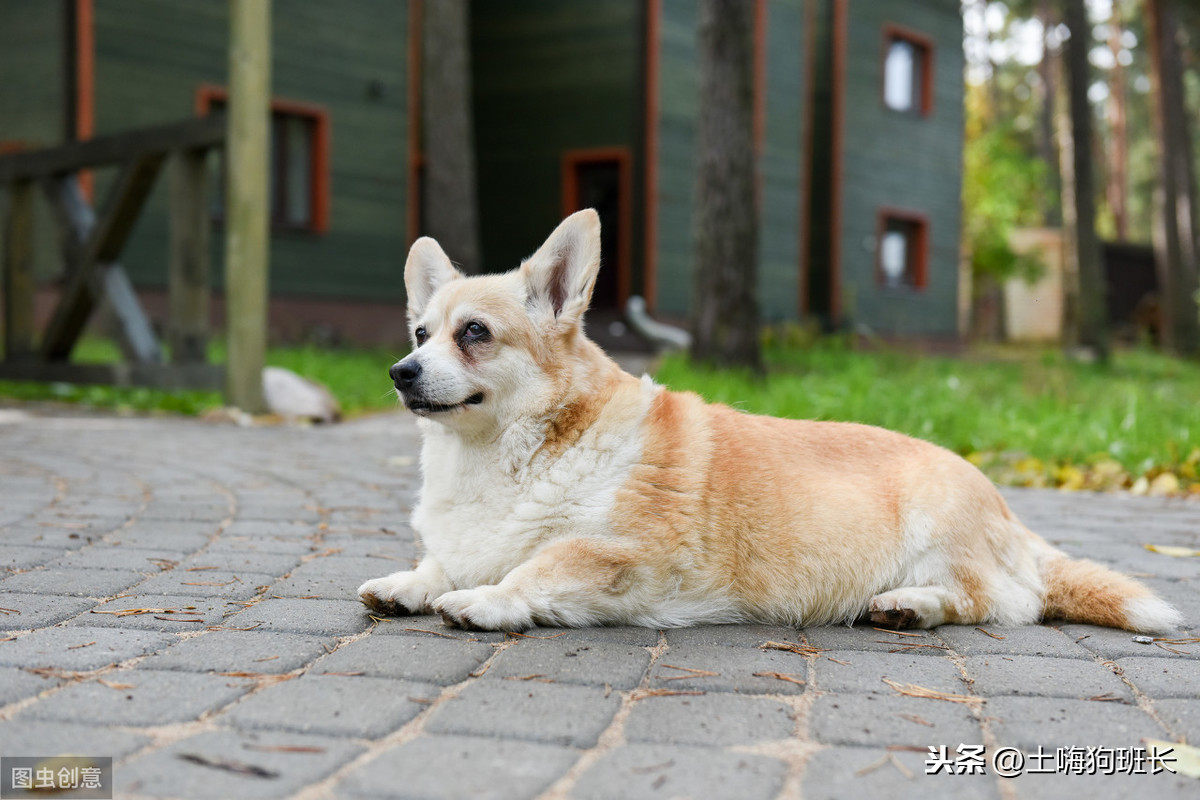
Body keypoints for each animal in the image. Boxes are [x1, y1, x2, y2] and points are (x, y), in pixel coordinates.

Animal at [355, 209, 1180, 633]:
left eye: (475, 334)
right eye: (421, 333)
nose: (399, 372)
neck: (502, 456)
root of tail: (1012, 516)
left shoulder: (623, 554)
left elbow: (538, 566)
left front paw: (485, 601)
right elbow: (441, 562)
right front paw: (410, 582)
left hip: (941, 530)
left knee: (997, 602)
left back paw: (909, 605)